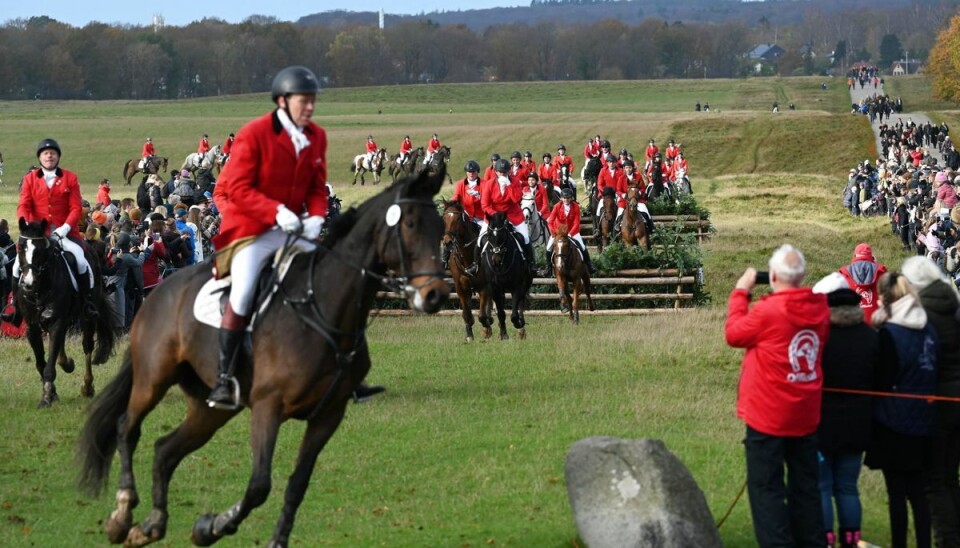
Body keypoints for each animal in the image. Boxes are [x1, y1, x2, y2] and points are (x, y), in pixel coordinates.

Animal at [15, 218, 115, 406]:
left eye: (40, 250)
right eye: (20, 247)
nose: (28, 283)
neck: (40, 289)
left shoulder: (57, 321)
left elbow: (49, 365)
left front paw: (47, 397)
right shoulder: (32, 326)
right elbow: (41, 363)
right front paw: (52, 392)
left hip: (88, 317)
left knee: (87, 347)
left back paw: (87, 387)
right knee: (61, 350)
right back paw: (68, 364)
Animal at [78, 167, 450, 548]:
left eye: (440, 226)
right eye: (410, 225)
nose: (435, 295)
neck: (324, 308)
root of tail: (159, 294)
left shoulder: (327, 416)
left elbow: (297, 485)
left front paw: (248, 534)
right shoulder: (268, 406)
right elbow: (259, 485)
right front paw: (214, 525)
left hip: (210, 408)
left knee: (165, 450)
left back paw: (151, 524)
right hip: (153, 379)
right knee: (127, 428)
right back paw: (122, 514)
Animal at [440, 199, 492, 340]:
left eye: (458, 219)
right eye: (444, 218)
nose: (447, 242)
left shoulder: (484, 286)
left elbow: (482, 315)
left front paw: (487, 326)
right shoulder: (460, 287)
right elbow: (466, 313)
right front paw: (469, 335)